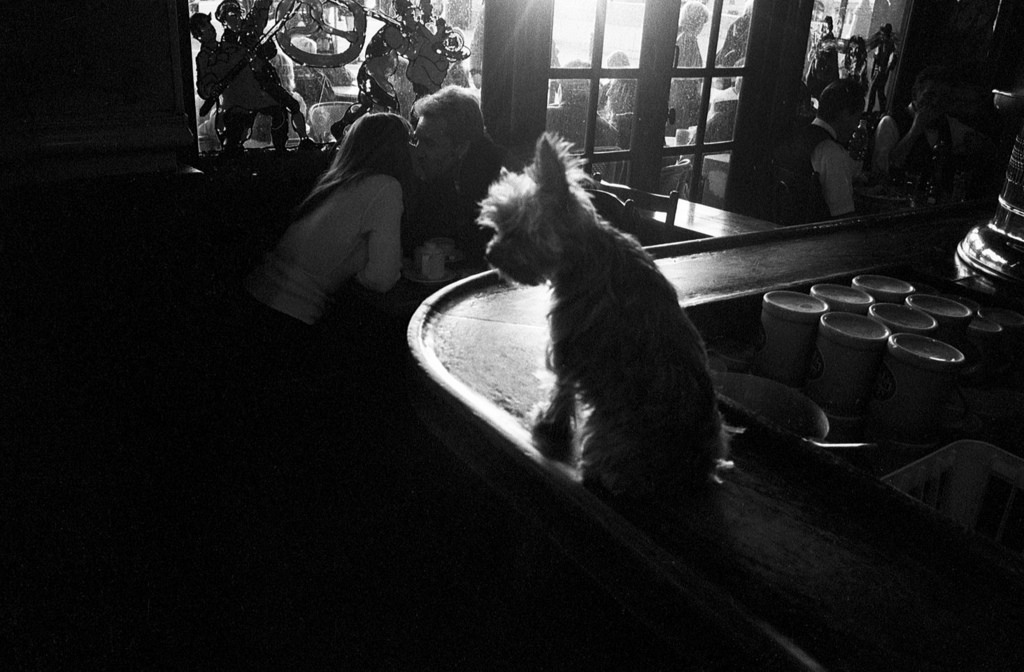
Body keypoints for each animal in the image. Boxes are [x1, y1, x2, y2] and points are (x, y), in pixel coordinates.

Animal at [475, 134, 733, 495]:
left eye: (520, 231)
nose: (490, 254)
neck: (586, 252)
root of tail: (696, 466)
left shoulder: (566, 342)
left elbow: (561, 387)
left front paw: (548, 422)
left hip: (612, 437)